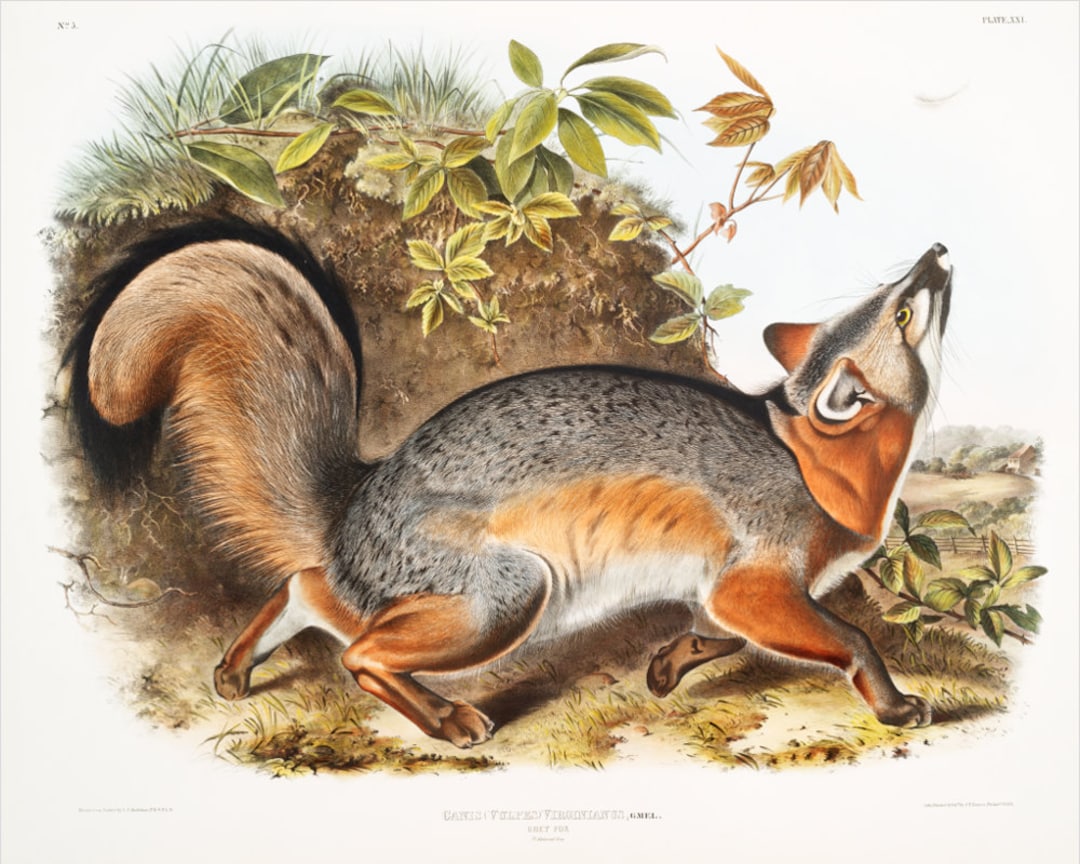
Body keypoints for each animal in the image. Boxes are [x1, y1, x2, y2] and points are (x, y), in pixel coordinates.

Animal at [67, 221, 952, 748]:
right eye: (902, 311)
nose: (936, 253)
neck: (813, 459)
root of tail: (360, 497)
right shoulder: (756, 581)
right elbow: (851, 637)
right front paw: (893, 704)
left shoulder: (728, 588)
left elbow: (719, 632)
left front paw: (668, 667)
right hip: (508, 597)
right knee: (357, 650)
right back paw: (448, 719)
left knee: (308, 587)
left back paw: (236, 668)